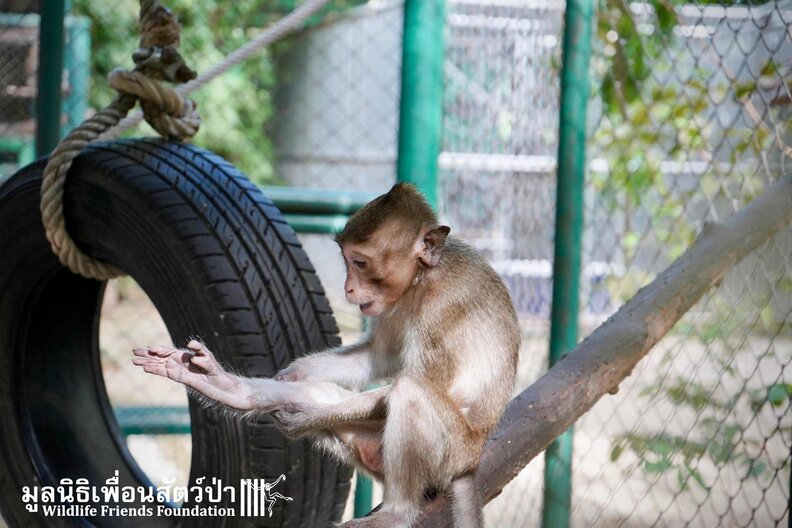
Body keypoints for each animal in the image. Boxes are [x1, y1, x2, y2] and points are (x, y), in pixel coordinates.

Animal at [132, 183, 520, 528]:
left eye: (360, 263)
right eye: (348, 261)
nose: (347, 288)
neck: (420, 278)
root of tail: (472, 462)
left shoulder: (441, 307)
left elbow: (413, 379)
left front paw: (305, 419)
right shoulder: (394, 304)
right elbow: (376, 357)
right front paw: (293, 373)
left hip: (452, 452)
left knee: (409, 391)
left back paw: (398, 514)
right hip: (373, 442)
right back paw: (230, 390)